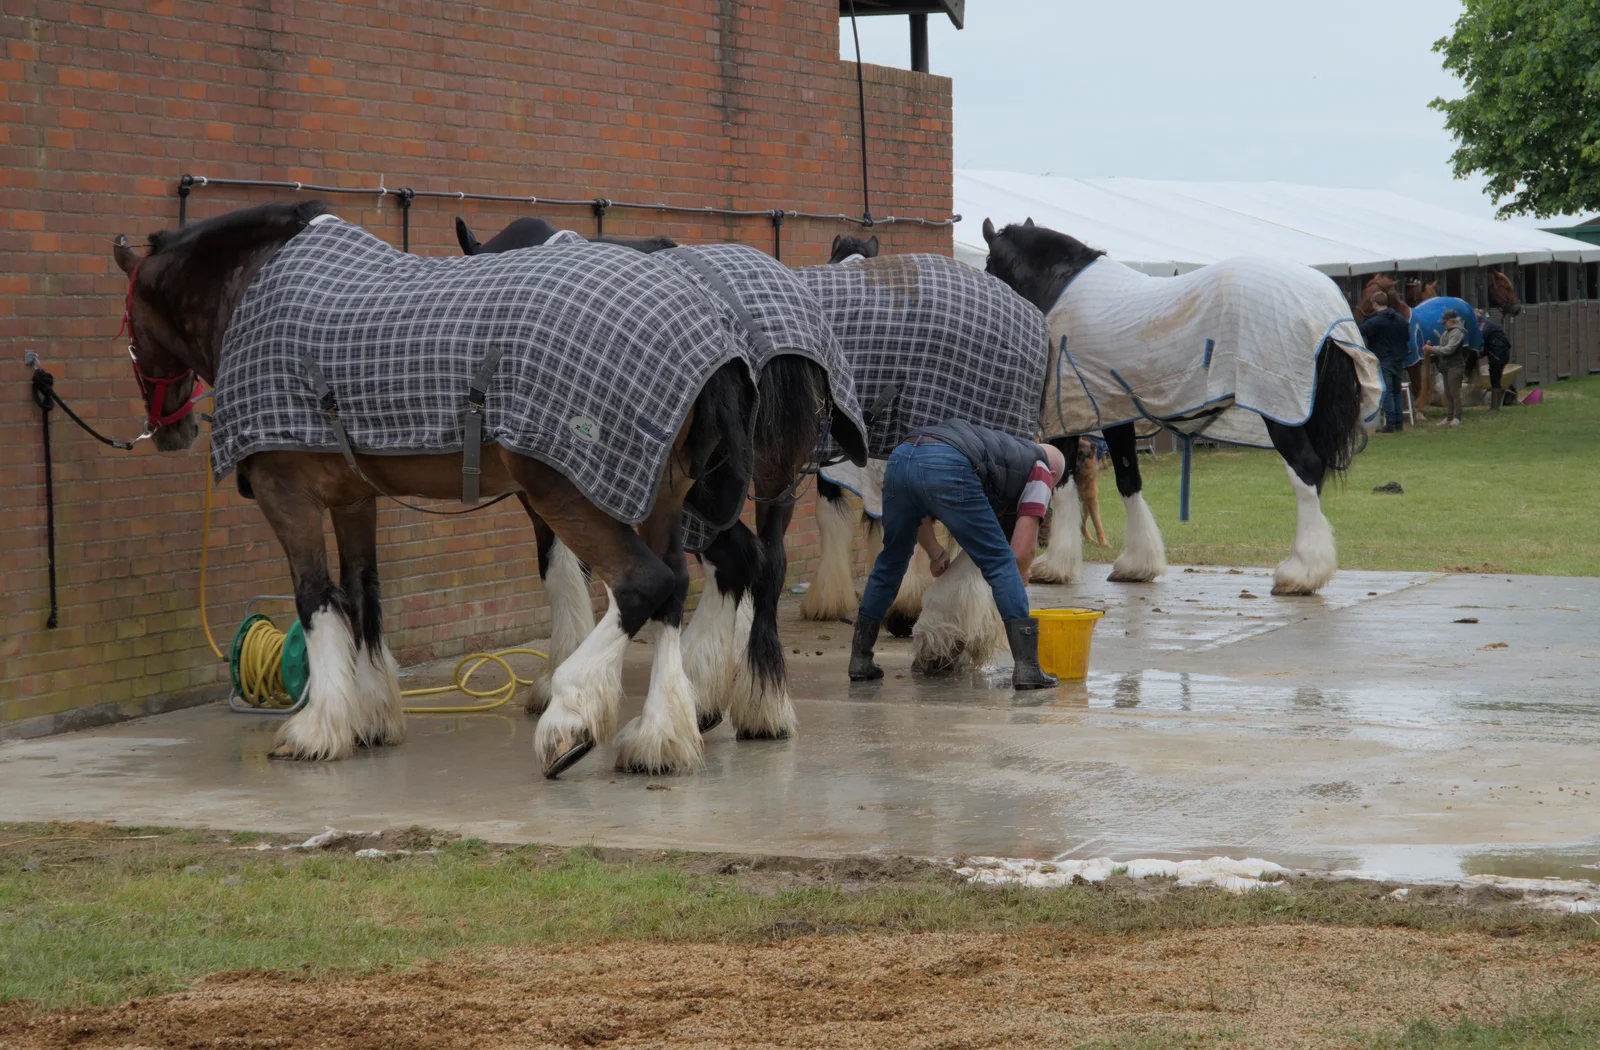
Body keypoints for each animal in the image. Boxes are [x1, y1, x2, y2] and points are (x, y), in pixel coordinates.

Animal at [112, 204, 761, 777]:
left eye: (129, 328)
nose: (171, 428)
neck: (257, 288)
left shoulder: (285, 492)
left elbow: (315, 597)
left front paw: (317, 728)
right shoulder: (353, 497)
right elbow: (363, 593)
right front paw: (372, 716)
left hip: (569, 491)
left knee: (642, 583)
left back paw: (570, 718)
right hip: (662, 492)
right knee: (674, 587)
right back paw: (660, 737)